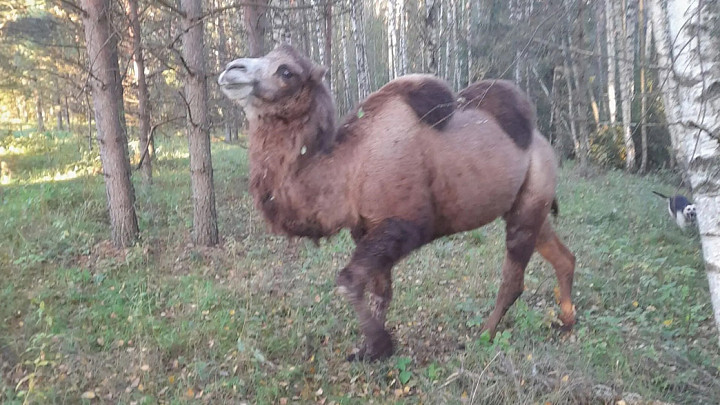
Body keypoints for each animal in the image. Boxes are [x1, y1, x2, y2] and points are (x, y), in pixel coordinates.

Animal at [218, 44, 576, 361]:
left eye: (286, 71)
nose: (230, 69)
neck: (348, 168)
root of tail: (542, 144)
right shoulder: (365, 228)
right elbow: (380, 290)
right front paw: (369, 351)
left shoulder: (404, 225)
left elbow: (348, 282)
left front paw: (380, 344)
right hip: (530, 202)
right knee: (562, 256)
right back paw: (567, 322)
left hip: (530, 200)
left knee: (513, 275)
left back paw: (484, 335)